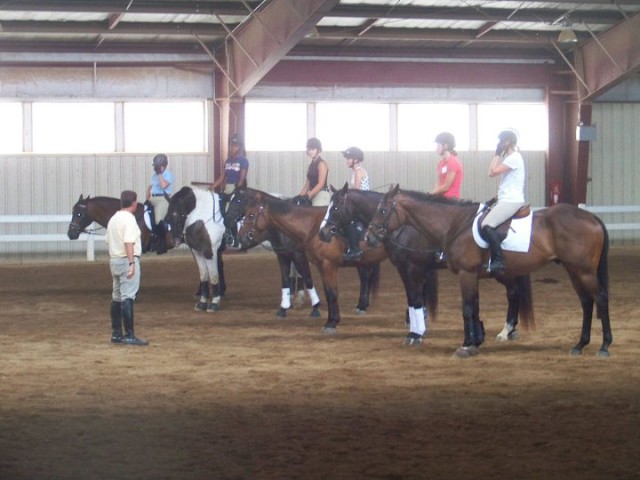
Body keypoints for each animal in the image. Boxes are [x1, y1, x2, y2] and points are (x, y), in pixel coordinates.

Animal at [165, 186, 228, 314]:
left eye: (183, 215)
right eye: (168, 217)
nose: (176, 241)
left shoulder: (209, 251)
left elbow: (213, 275)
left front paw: (214, 302)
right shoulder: (198, 251)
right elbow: (204, 275)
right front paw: (203, 302)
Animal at [238, 188, 382, 334]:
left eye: (251, 215)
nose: (240, 237)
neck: (312, 227)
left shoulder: (316, 262)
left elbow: (315, 283)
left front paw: (320, 313)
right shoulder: (287, 257)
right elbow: (290, 281)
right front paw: (285, 307)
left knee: (365, 277)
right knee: (365, 277)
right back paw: (361, 305)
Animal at [320, 184, 536, 344]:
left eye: (336, 207)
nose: (323, 233)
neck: (404, 226)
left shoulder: (410, 267)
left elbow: (415, 298)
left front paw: (415, 333)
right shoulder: (414, 268)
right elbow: (416, 299)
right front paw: (417, 326)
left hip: (501, 271)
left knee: (513, 293)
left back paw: (507, 330)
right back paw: (511, 330)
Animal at [364, 186, 608, 358]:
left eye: (383, 210)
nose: (368, 238)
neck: (453, 224)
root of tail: (591, 217)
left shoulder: (463, 273)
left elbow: (465, 308)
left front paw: (465, 345)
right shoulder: (471, 275)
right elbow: (474, 307)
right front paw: (475, 342)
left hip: (583, 271)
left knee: (600, 299)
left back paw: (604, 346)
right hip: (573, 270)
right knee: (586, 302)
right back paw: (579, 345)